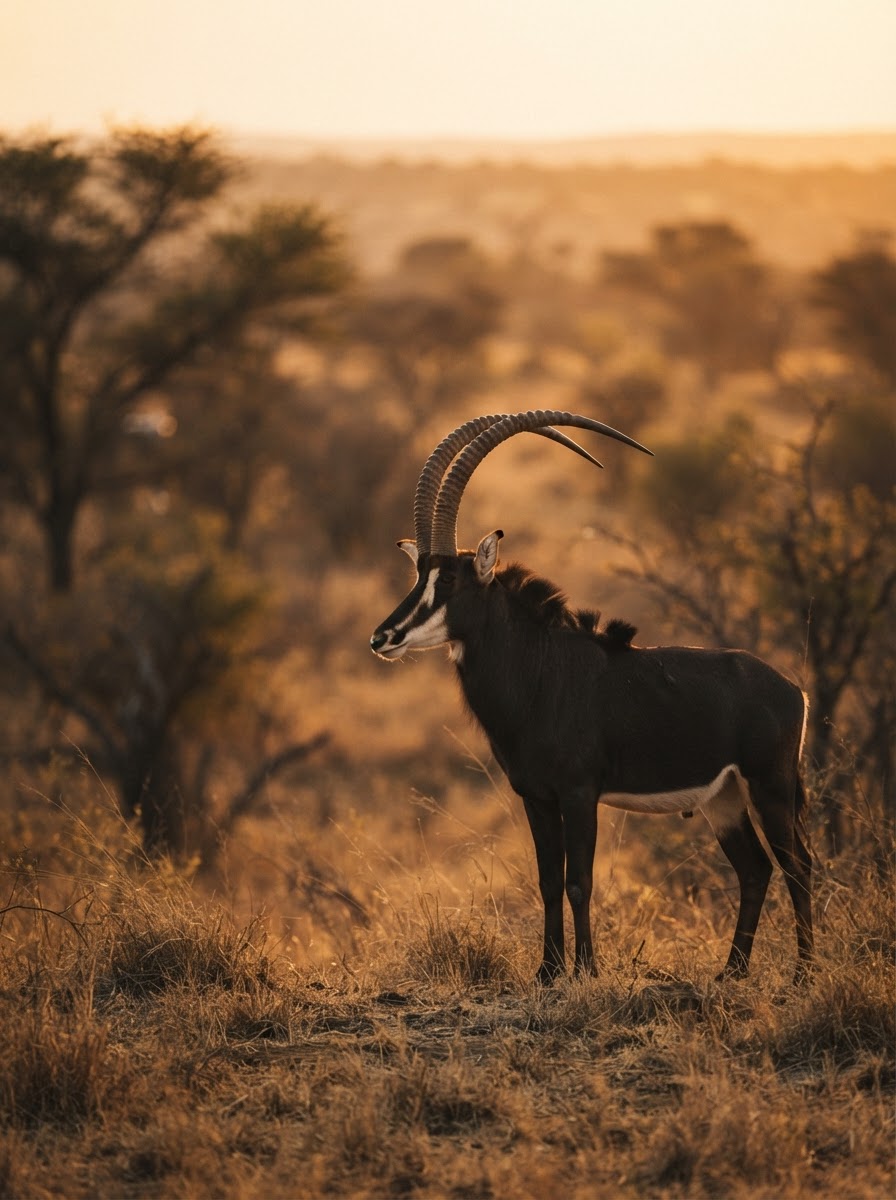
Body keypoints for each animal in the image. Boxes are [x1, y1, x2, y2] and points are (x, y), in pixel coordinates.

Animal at [370, 411, 813, 985]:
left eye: (448, 583)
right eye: (418, 574)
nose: (382, 637)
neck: (539, 671)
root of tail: (793, 690)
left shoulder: (580, 794)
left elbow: (579, 880)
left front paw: (585, 970)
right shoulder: (536, 797)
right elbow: (547, 881)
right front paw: (547, 971)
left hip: (770, 790)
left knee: (797, 867)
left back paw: (804, 973)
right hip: (724, 799)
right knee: (756, 870)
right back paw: (731, 973)